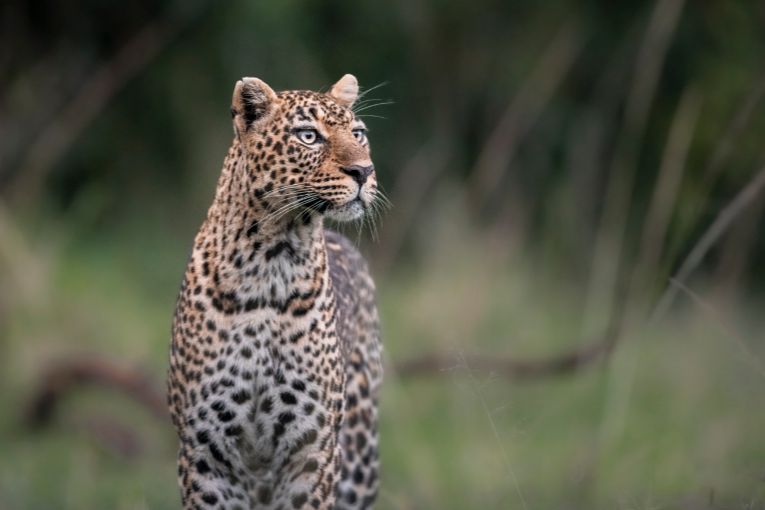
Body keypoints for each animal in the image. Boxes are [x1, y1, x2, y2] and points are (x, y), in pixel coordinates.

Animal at [167, 74, 384, 510]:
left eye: (358, 134)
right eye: (308, 136)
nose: (364, 171)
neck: (273, 256)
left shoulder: (312, 448)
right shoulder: (205, 450)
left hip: (359, 455)